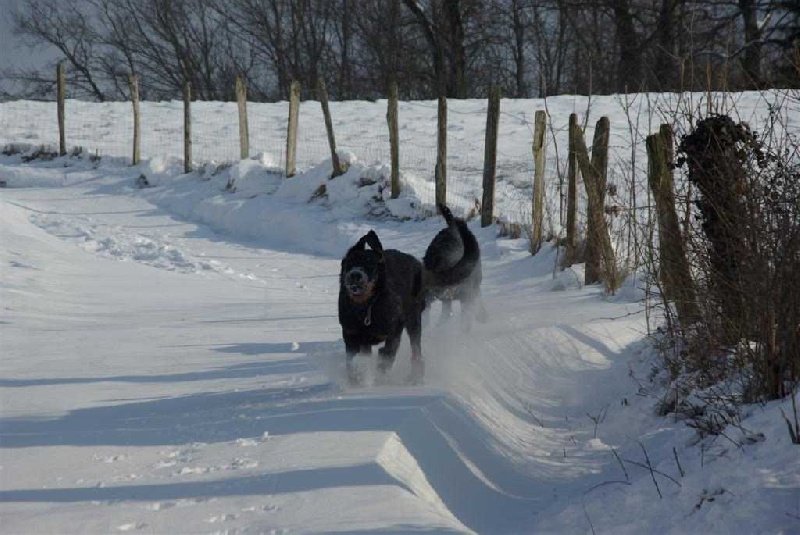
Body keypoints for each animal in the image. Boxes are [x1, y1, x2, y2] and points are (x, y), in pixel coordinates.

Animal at [338, 230, 424, 386]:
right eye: (349, 263)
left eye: (370, 265)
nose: (355, 275)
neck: (366, 306)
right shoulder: (350, 333)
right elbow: (352, 360)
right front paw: (356, 381)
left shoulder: (394, 331)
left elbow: (387, 355)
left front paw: (380, 382)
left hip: (413, 315)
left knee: (416, 346)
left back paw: (416, 376)